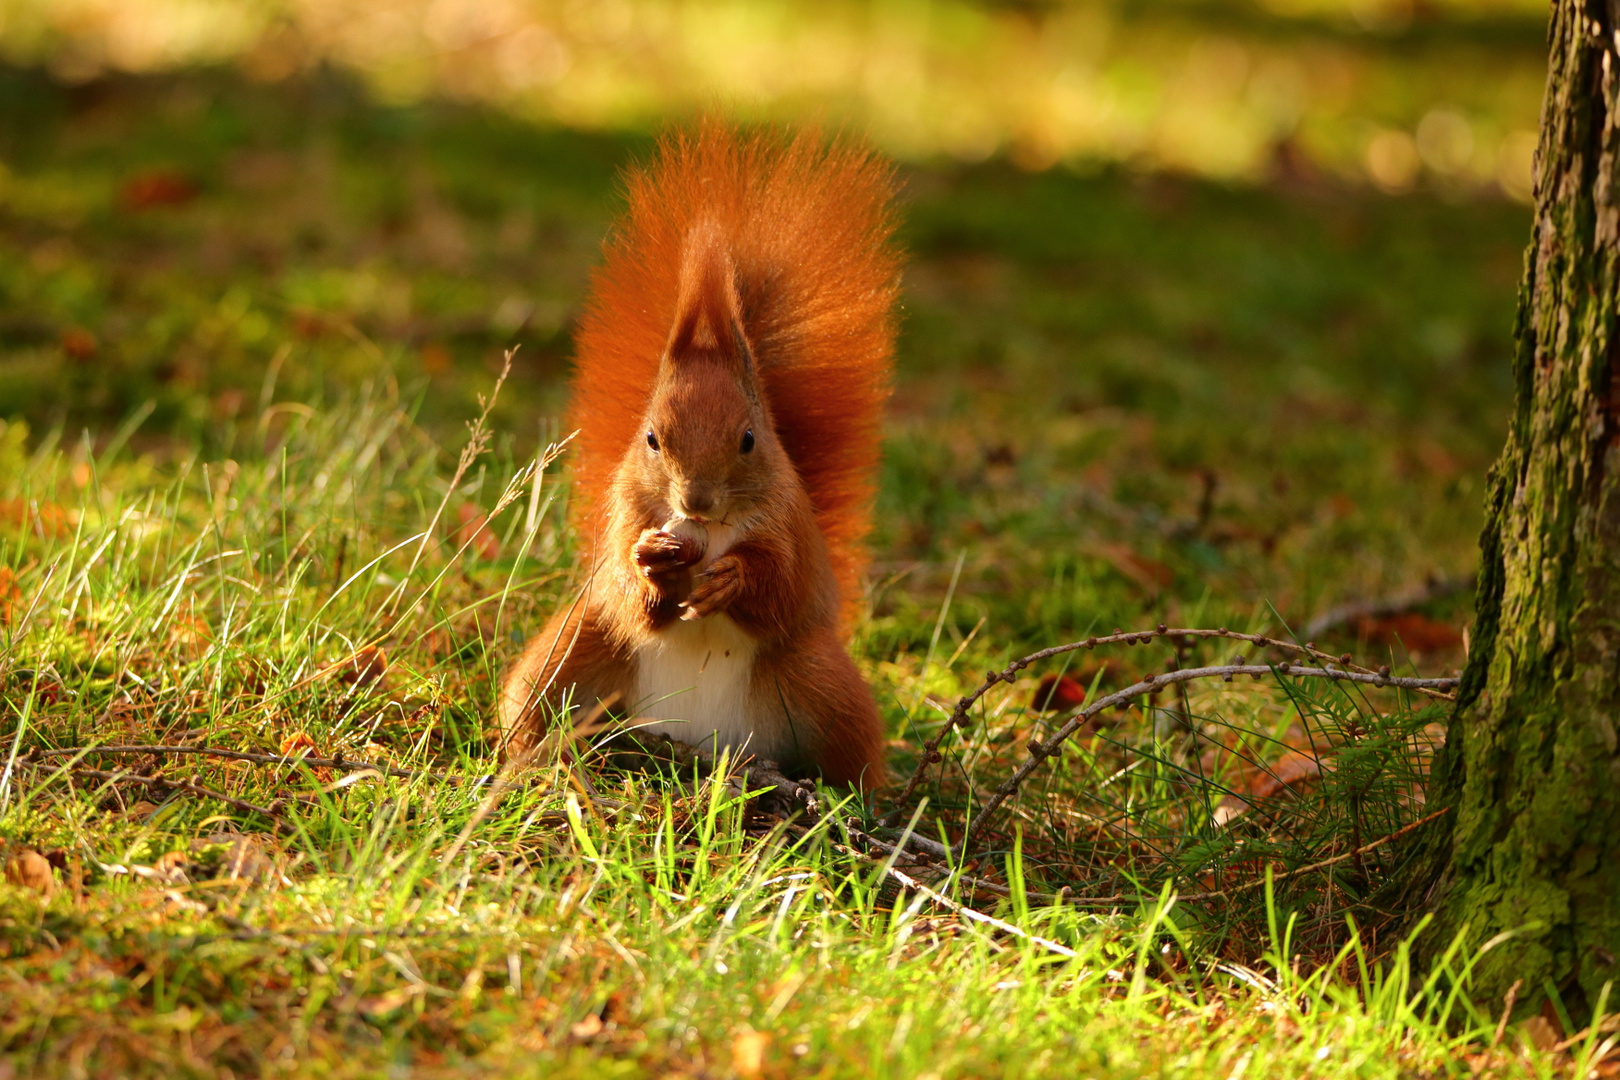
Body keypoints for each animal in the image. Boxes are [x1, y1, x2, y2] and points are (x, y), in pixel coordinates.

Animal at [492, 120, 900, 793]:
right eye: (652, 439)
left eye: (750, 439)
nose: (696, 499)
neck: (706, 531)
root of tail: (700, 740)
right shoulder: (625, 512)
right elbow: (623, 580)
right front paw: (649, 563)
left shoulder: (789, 526)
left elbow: (783, 584)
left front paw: (735, 578)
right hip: (572, 652)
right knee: (536, 702)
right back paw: (531, 762)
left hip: (821, 682)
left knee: (850, 749)